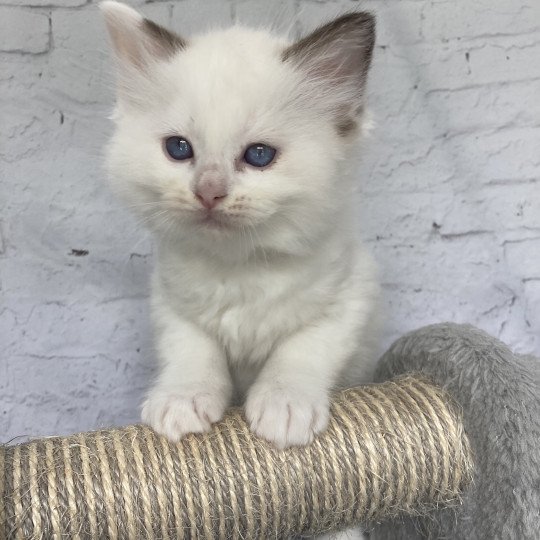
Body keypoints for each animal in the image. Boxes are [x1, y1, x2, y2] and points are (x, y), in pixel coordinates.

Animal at [102, 2, 380, 452]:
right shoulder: (172, 306)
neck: (240, 267)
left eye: (259, 155)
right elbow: (193, 352)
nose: (208, 192)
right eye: (178, 149)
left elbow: (302, 349)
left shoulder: (349, 298)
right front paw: (182, 400)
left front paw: (285, 406)